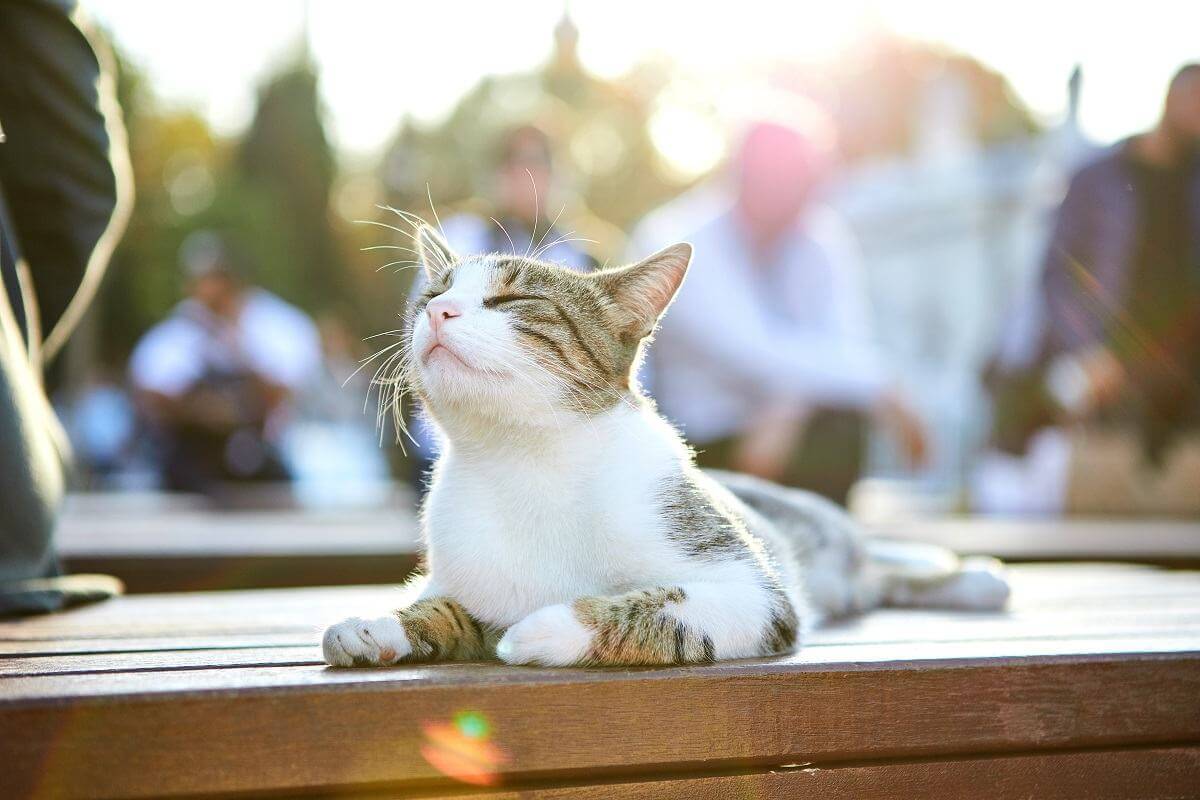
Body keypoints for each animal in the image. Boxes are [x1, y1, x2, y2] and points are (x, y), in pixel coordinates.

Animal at [324, 224, 1008, 671]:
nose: (437, 311)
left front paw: (545, 630)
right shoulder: (468, 578)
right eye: (429, 292)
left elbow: (660, 608)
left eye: (513, 299)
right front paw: (377, 626)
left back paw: (975, 579)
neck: (525, 459)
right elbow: (442, 608)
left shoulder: (753, 593)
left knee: (884, 569)